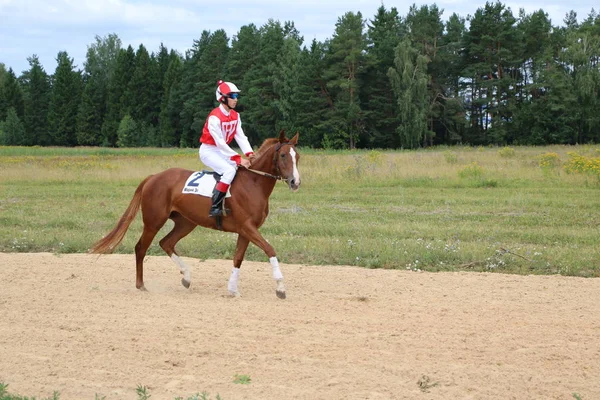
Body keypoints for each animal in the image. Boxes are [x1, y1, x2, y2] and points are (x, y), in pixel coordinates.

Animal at [88, 130, 300, 298]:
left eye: (297, 156)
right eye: (283, 155)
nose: (295, 182)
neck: (253, 183)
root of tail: (154, 177)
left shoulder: (246, 230)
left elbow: (238, 258)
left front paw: (233, 290)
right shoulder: (247, 227)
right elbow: (270, 249)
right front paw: (280, 288)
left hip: (186, 223)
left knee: (166, 243)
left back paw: (186, 277)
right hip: (154, 221)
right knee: (141, 248)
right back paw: (141, 285)